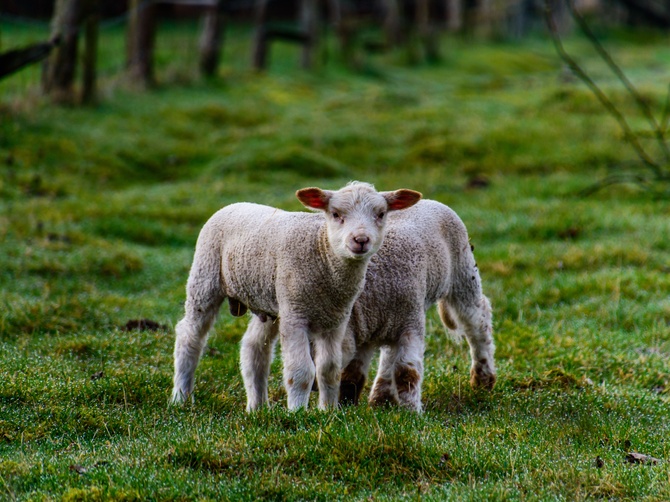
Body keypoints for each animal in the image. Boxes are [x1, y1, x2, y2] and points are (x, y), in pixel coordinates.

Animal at [171, 181, 422, 410]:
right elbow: (301, 370)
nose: (360, 240)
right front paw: (298, 413)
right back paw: (181, 397)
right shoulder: (296, 316)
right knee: (190, 335)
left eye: (381, 214)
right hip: (205, 277)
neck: (324, 254)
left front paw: (329, 412)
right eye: (336, 214)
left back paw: (257, 407)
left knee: (254, 347)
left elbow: (329, 369)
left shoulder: (336, 321)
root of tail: (234, 204)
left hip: (272, 302)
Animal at [336, 198, 496, 412]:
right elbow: (351, 374)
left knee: (478, 320)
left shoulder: (409, 325)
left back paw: (483, 379)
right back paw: (381, 397)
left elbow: (406, 372)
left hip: (462, 274)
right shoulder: (364, 328)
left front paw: (411, 412)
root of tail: (427, 200)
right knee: (389, 352)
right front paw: (344, 406)